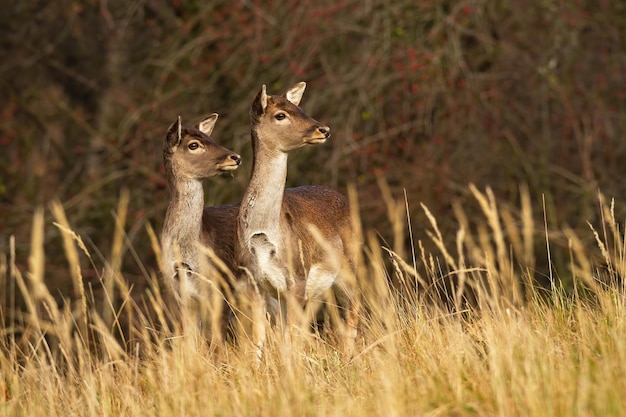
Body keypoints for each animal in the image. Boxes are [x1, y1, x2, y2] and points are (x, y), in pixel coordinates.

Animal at [235, 83, 360, 356]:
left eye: (299, 107)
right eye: (280, 115)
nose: (323, 129)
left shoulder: (298, 278)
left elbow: (290, 342)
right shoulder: (253, 283)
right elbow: (257, 341)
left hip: (349, 265)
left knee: (353, 312)